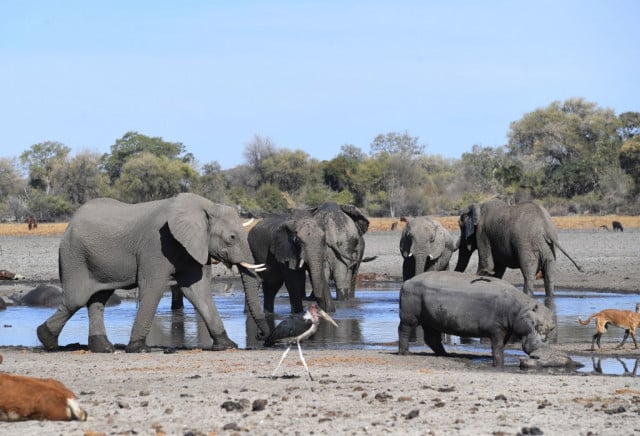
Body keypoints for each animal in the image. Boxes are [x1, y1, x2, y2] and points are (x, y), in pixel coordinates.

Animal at [37, 192, 268, 352]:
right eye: (231, 238)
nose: (261, 335)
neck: (205, 206)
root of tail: (69, 224)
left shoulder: (191, 247)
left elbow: (198, 291)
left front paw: (227, 345)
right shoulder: (156, 245)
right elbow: (153, 288)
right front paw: (139, 348)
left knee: (97, 300)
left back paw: (103, 348)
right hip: (74, 256)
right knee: (75, 300)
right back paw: (46, 340)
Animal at [400, 270, 556, 366]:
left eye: (551, 329)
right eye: (536, 324)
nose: (537, 351)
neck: (519, 309)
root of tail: (407, 281)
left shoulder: (507, 329)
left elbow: (501, 345)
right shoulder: (496, 329)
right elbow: (497, 347)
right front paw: (498, 365)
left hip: (432, 321)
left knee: (432, 338)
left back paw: (446, 355)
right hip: (409, 316)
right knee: (404, 330)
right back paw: (405, 353)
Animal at [452, 198, 584, 296]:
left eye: (461, 227)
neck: (479, 205)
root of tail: (545, 227)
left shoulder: (482, 233)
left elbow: (487, 267)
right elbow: (498, 269)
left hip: (526, 244)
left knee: (528, 274)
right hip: (549, 248)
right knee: (549, 276)